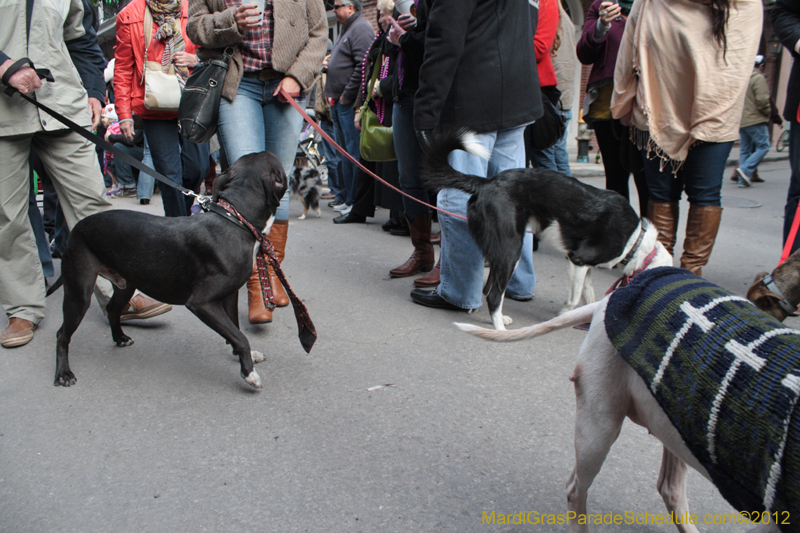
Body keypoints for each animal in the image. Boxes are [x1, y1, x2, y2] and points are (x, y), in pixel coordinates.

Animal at [422, 129, 672, 328]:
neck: (636, 241)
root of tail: (487, 182)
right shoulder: (577, 260)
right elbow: (575, 298)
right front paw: (564, 315)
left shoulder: (585, 266)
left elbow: (589, 295)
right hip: (510, 249)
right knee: (493, 294)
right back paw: (500, 331)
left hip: (505, 250)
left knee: (490, 290)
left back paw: (501, 320)